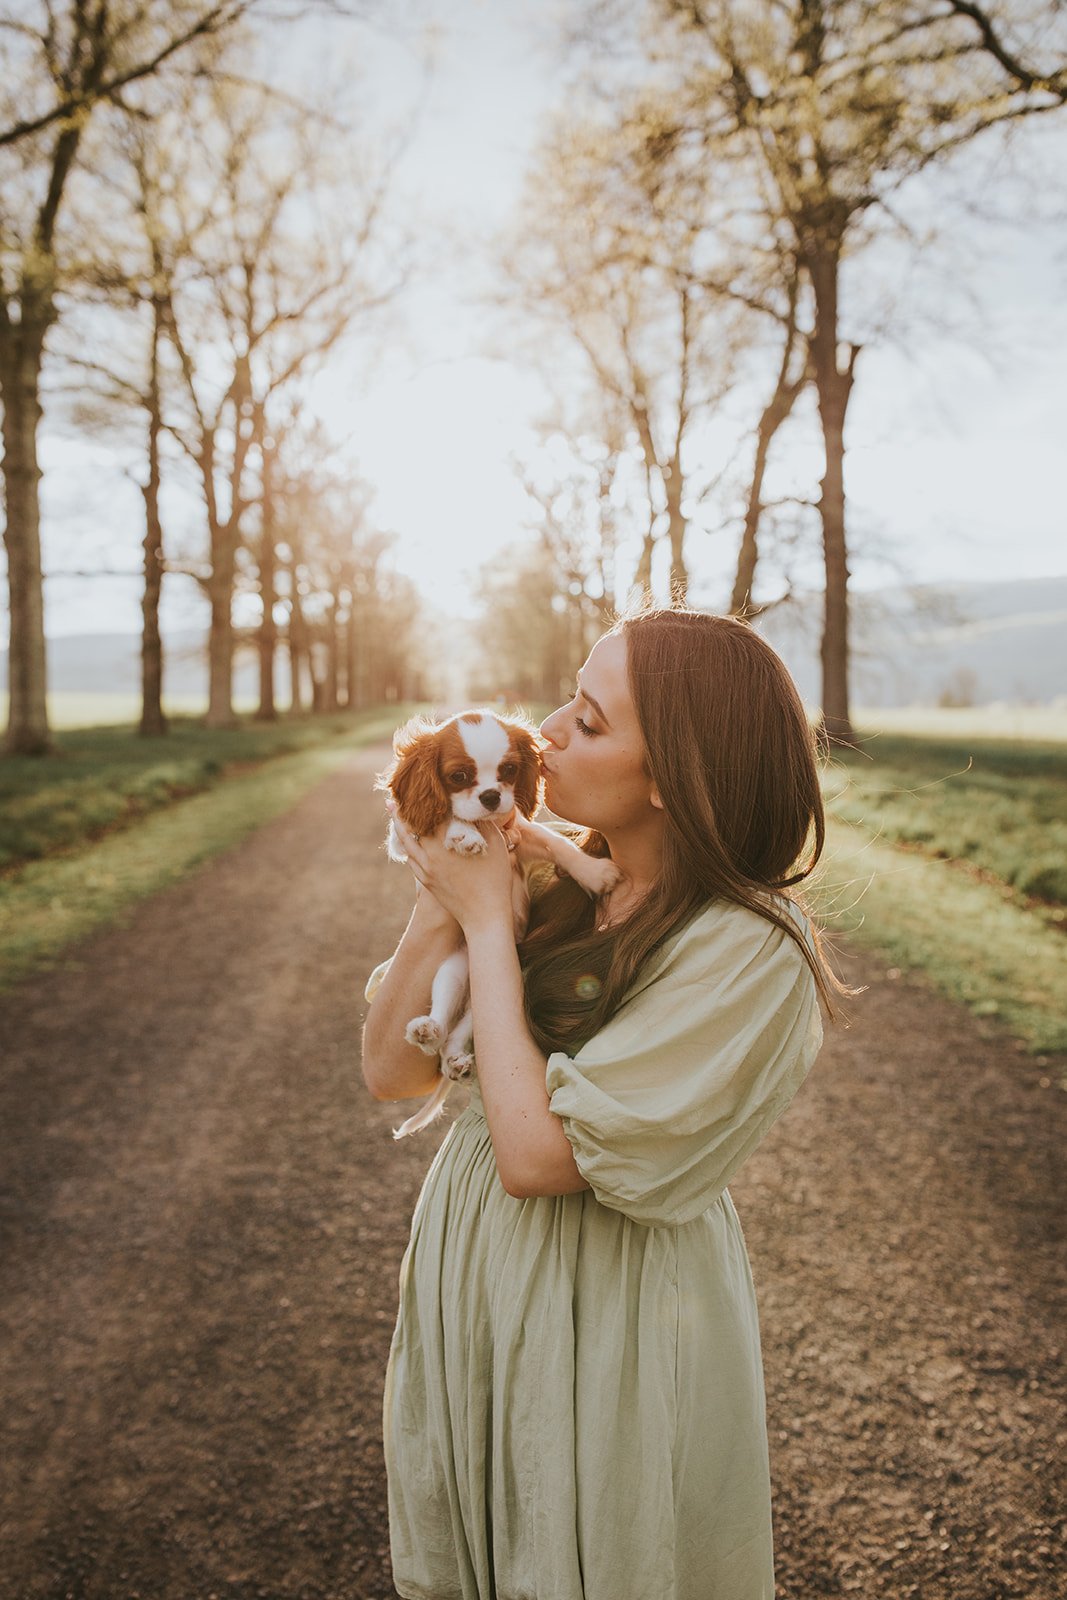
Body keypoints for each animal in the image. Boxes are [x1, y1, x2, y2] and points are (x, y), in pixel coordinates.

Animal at [377, 713, 620, 1139]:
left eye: (508, 771)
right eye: (458, 776)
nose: (491, 797)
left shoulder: (520, 831)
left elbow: (557, 844)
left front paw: (593, 872)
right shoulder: (401, 837)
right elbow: (449, 816)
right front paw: (462, 831)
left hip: (487, 1001)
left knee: (454, 1038)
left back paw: (455, 1060)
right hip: (454, 971)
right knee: (440, 1022)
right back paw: (426, 1030)